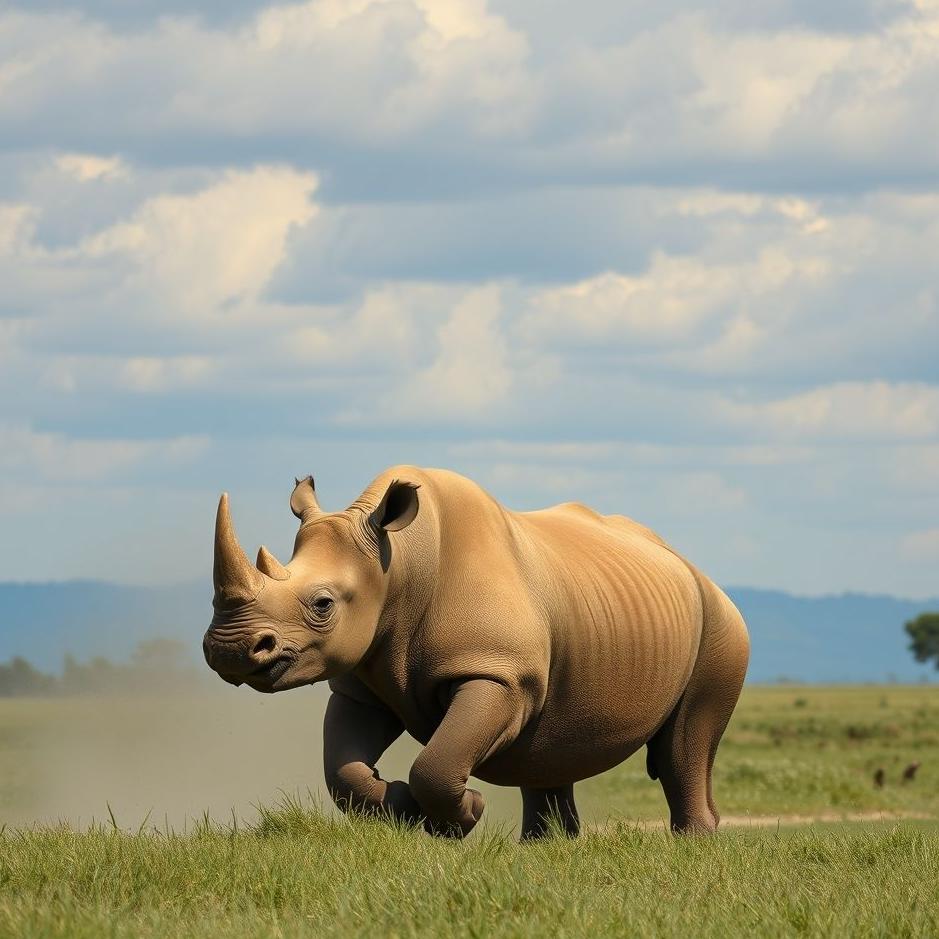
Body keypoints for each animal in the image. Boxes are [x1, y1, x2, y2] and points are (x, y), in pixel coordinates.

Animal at [203, 467, 749, 839]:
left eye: (323, 604)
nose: (228, 650)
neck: (400, 563)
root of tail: (689, 564)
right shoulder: (360, 680)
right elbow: (342, 773)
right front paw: (408, 809)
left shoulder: (498, 673)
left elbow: (437, 763)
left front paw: (462, 816)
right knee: (551, 747)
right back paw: (545, 849)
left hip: (721, 622)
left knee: (685, 744)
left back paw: (692, 845)